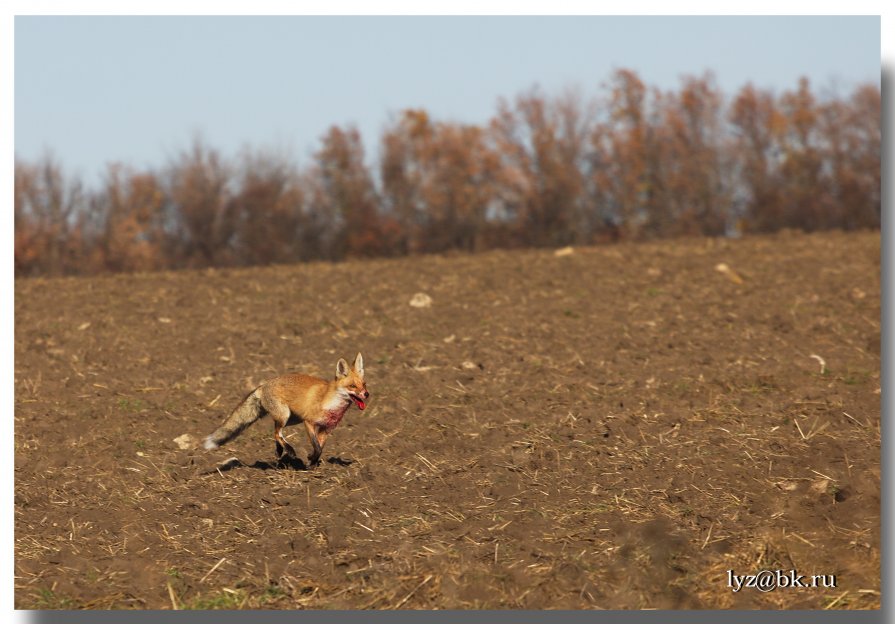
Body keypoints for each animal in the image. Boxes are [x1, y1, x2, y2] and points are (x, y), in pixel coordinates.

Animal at [205, 354, 370, 466]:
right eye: (352, 386)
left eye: (364, 384)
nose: (366, 394)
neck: (332, 404)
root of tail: (264, 385)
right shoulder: (308, 422)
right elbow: (317, 447)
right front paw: (310, 461)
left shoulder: (326, 429)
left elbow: (320, 448)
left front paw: (312, 463)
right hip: (285, 416)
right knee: (276, 433)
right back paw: (289, 450)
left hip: (291, 419)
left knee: (276, 432)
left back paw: (280, 450)